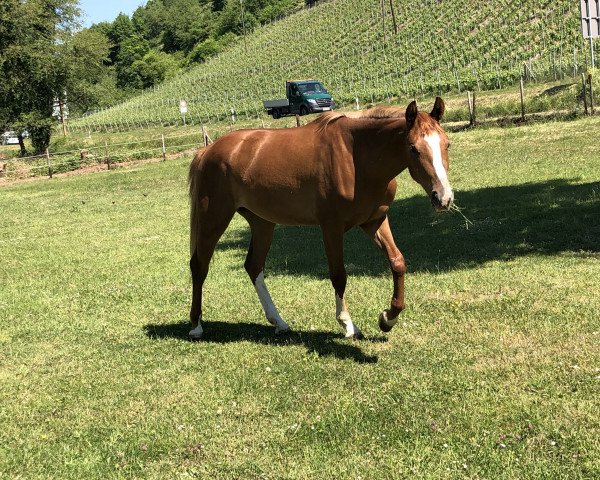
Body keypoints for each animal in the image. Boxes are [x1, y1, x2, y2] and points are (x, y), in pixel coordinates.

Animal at [188, 97, 450, 340]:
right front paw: (348, 324)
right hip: (214, 219)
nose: (443, 197)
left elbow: (397, 262)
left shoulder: (375, 221)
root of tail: (207, 151)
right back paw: (196, 325)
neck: (356, 156)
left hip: (262, 223)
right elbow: (339, 275)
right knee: (199, 266)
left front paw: (388, 318)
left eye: (447, 144)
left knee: (254, 266)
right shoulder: (331, 227)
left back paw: (278, 321)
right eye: (413, 148)